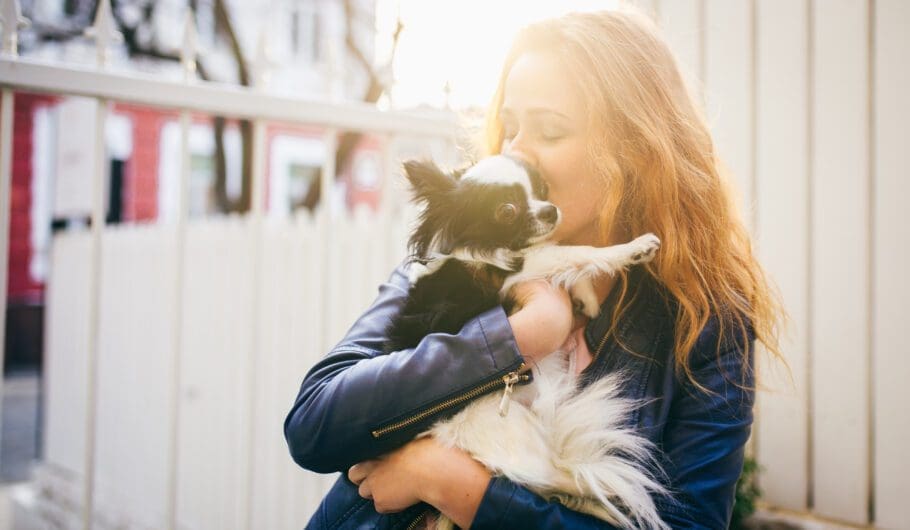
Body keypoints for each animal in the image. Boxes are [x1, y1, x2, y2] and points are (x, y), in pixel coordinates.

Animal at [386, 155, 668, 524]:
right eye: (506, 211)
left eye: (543, 189)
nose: (549, 210)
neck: (489, 247)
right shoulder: (513, 272)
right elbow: (574, 252)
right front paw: (633, 249)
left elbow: (563, 257)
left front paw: (586, 298)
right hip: (503, 425)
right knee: (559, 476)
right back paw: (603, 489)